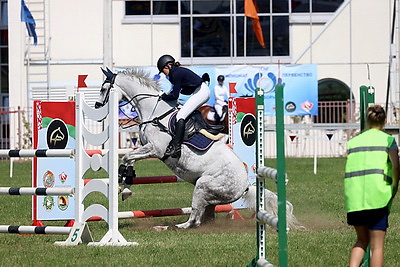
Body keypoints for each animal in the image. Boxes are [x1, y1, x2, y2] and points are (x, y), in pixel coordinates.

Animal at [95, 68, 302, 231]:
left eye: (104, 89)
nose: (97, 106)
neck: (154, 110)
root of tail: (245, 186)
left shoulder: (155, 150)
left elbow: (127, 158)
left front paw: (124, 186)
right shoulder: (146, 147)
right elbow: (130, 158)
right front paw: (125, 184)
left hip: (203, 186)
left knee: (193, 220)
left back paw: (169, 227)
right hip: (208, 195)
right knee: (203, 218)